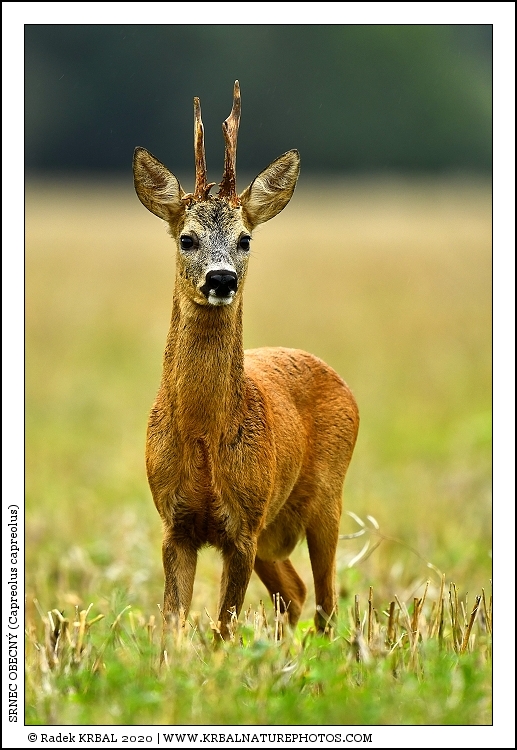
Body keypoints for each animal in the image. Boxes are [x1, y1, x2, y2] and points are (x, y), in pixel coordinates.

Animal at [133, 81, 359, 642]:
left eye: (245, 238)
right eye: (187, 237)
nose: (221, 278)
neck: (203, 437)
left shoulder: (243, 525)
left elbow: (223, 630)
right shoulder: (175, 523)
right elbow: (172, 626)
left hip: (327, 498)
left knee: (326, 603)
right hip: (273, 533)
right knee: (294, 594)